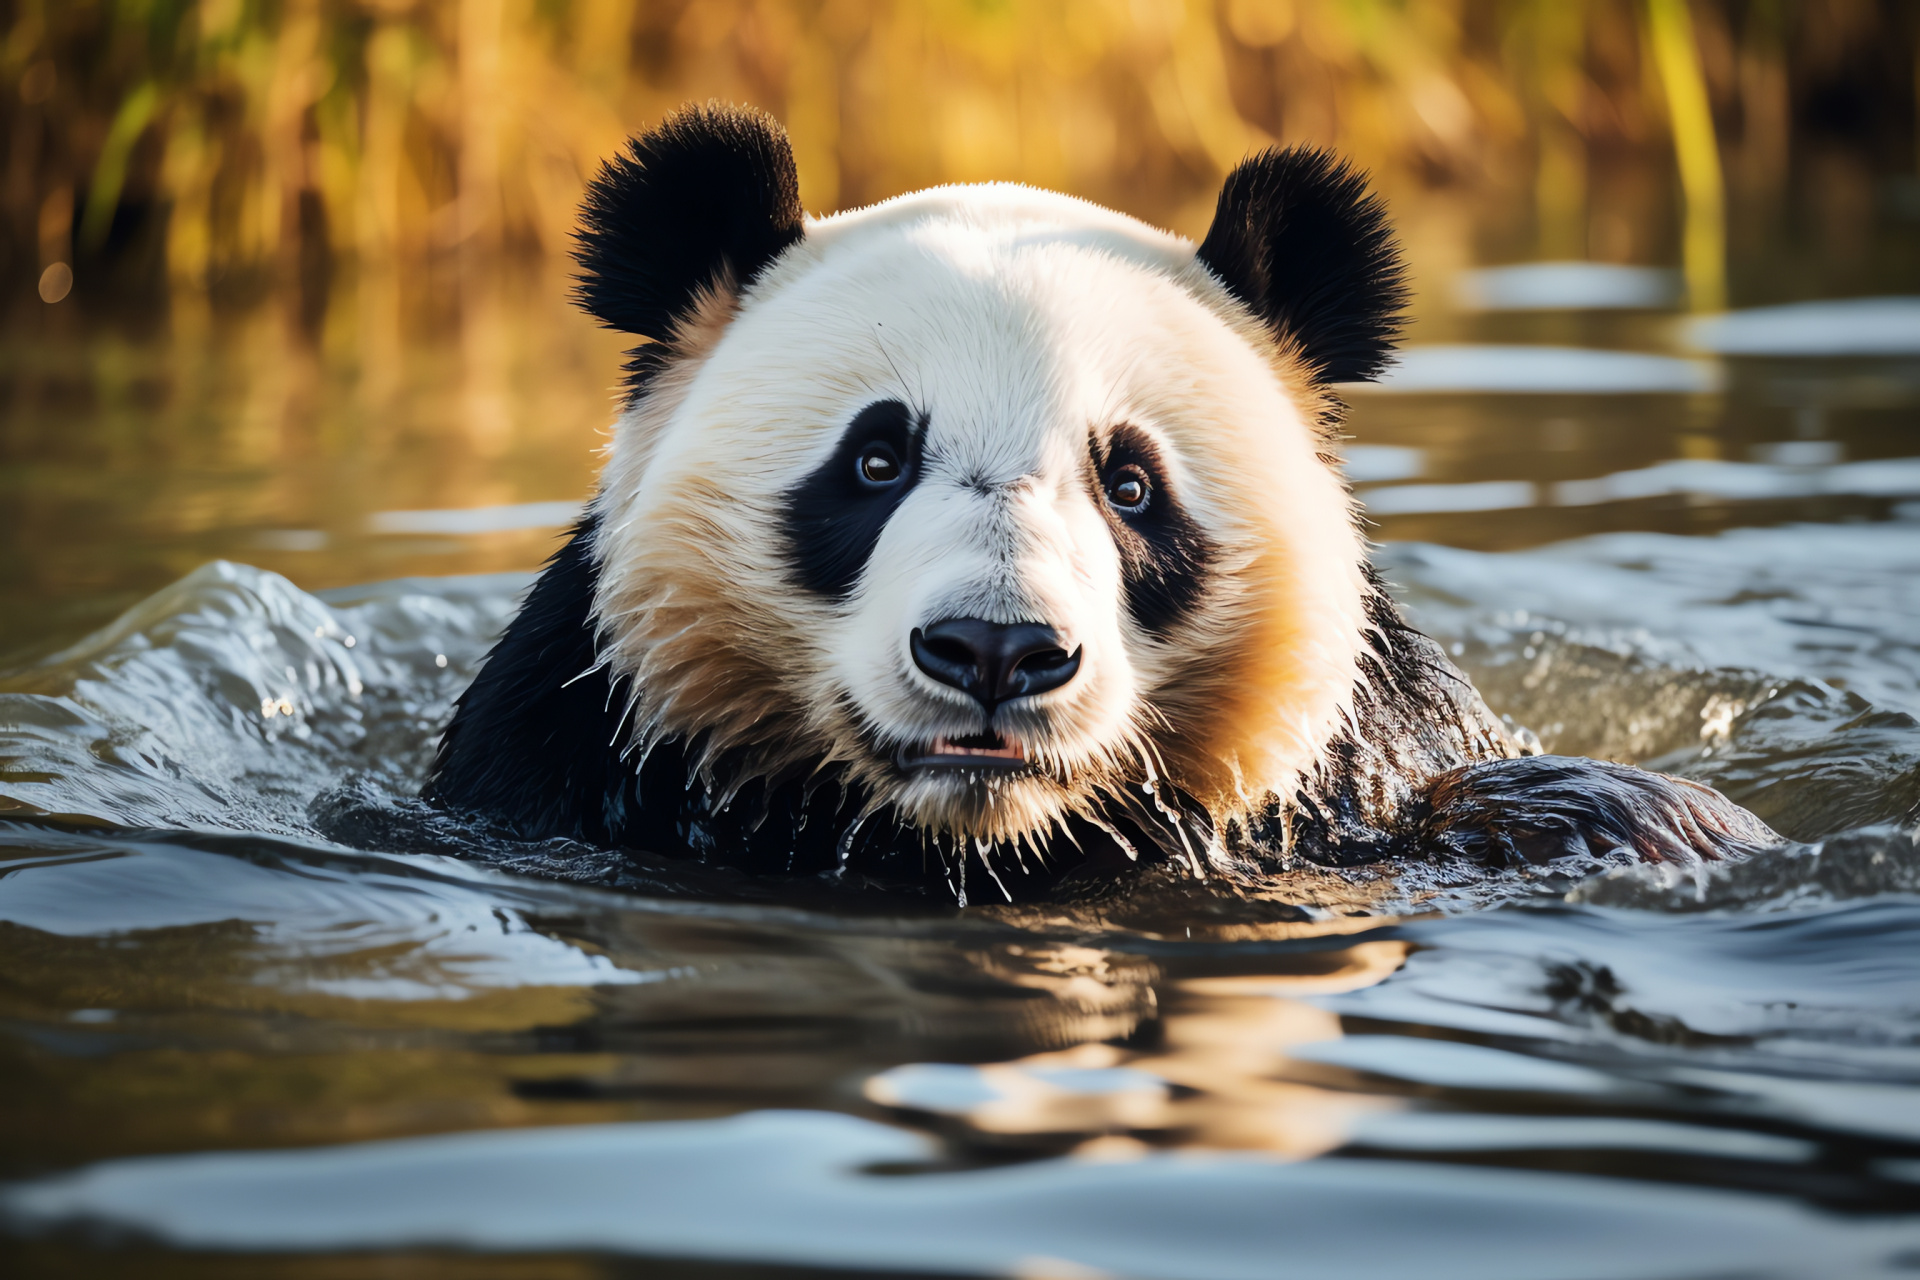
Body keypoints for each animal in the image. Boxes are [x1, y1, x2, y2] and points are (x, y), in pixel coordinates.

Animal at [420, 102, 1766, 901]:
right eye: (874, 461)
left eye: (1131, 486)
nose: (995, 649)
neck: (976, 841)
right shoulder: (564, 753)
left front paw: (1621, 817)